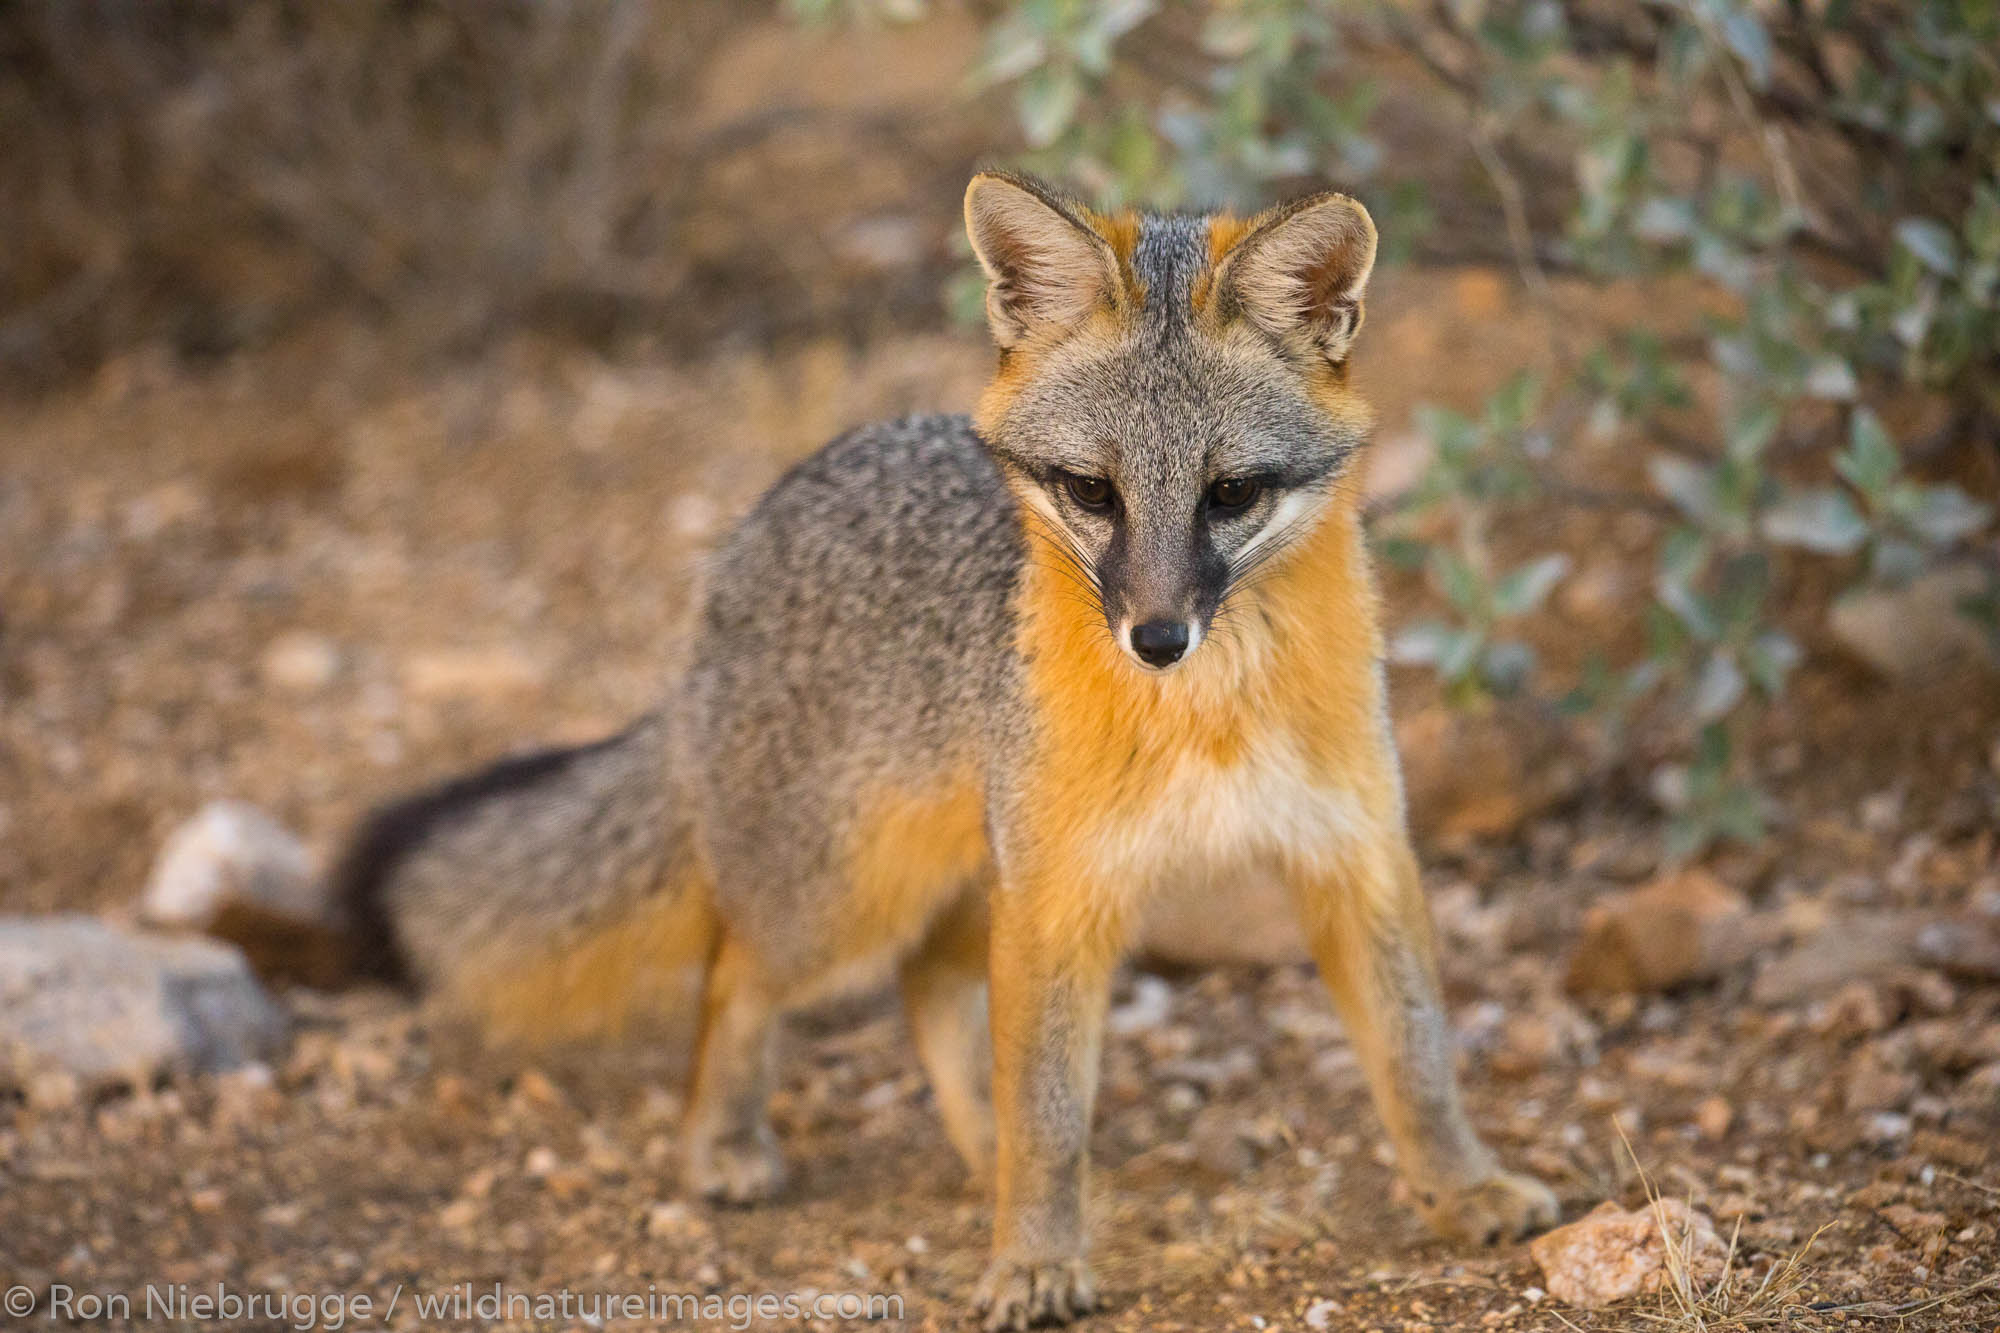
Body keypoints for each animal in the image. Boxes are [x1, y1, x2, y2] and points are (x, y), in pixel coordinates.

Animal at [336, 174, 1560, 1328]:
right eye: (1091, 491)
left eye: (1232, 494)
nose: (1157, 636)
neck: (1206, 709)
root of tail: (748, 531)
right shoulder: (1061, 895)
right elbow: (1050, 1113)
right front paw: (1036, 1261)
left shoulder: (1354, 853)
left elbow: (1415, 1054)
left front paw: (1463, 1188)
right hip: (846, 899)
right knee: (737, 972)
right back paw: (723, 1143)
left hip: (970, 881)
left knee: (927, 990)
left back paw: (975, 1154)